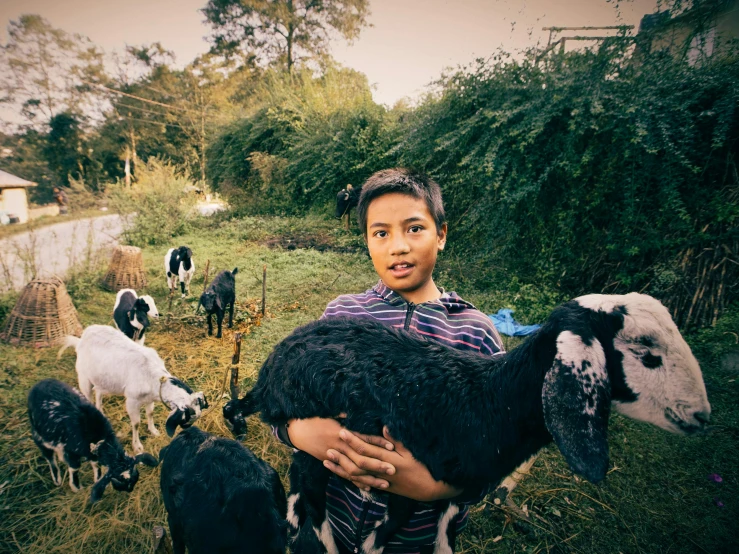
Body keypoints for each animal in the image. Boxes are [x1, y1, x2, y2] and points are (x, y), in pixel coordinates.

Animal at [28, 378, 158, 502]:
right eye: (119, 480)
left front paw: (97, 478)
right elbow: (75, 468)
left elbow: (96, 464)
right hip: (38, 434)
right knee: (49, 456)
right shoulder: (70, 451)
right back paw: (57, 479)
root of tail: (40, 383)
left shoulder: (91, 452)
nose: (129, 490)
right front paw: (76, 487)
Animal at [56, 324, 208, 452]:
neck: (152, 375)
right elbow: (136, 423)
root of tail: (81, 338)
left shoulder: (150, 398)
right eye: (185, 421)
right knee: (88, 396)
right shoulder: (132, 401)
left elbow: (150, 413)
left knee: (98, 392)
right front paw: (137, 446)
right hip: (84, 378)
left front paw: (153, 431)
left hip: (102, 379)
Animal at [225, 292, 712, 548]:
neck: (486, 401)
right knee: (309, 498)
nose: (702, 416)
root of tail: (271, 367)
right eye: (647, 352)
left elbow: (441, 539)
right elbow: (378, 539)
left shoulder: (453, 495)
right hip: (309, 433)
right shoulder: (405, 481)